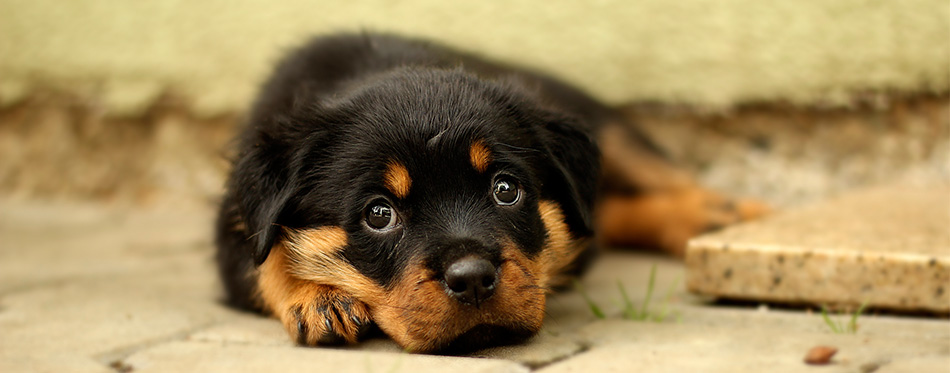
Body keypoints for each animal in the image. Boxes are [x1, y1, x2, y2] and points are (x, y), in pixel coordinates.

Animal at [216, 33, 768, 354]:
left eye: (505, 190)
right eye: (378, 214)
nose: (474, 280)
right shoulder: (239, 213)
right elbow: (262, 260)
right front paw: (318, 298)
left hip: (611, 132)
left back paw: (734, 214)